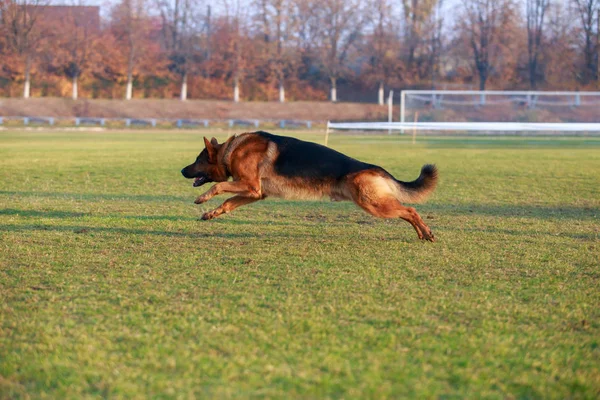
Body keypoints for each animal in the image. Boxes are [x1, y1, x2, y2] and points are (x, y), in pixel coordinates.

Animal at [180, 133, 438, 242]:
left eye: (197, 160)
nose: (182, 170)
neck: (231, 151)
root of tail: (374, 168)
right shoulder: (255, 192)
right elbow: (227, 202)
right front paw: (211, 213)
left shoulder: (249, 185)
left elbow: (220, 186)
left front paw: (202, 199)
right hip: (376, 203)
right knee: (406, 212)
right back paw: (422, 233)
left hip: (373, 204)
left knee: (410, 210)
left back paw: (425, 232)